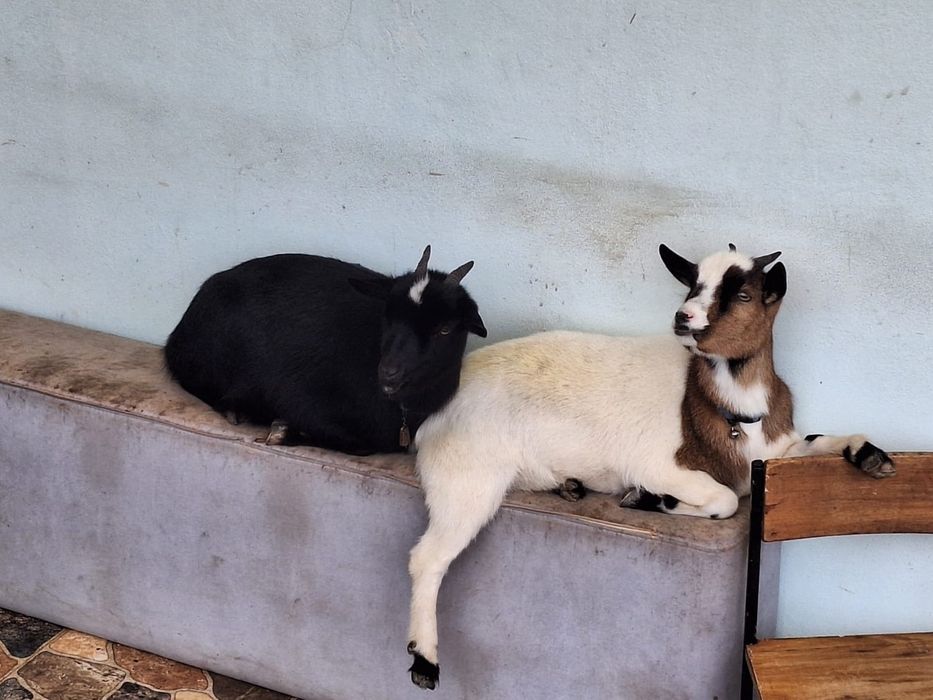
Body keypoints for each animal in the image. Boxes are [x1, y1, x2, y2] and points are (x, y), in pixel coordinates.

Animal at [164, 246, 486, 455]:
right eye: (388, 314)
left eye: (445, 328)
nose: (389, 372)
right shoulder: (298, 396)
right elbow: (360, 446)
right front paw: (283, 431)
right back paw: (237, 409)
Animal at [405, 244, 894, 689]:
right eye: (693, 283)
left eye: (744, 294)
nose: (684, 317)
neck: (730, 416)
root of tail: (434, 408)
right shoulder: (660, 464)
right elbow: (725, 501)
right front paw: (652, 500)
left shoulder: (774, 454)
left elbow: (815, 444)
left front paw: (871, 455)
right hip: (467, 479)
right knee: (427, 558)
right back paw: (424, 660)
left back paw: (570, 486)